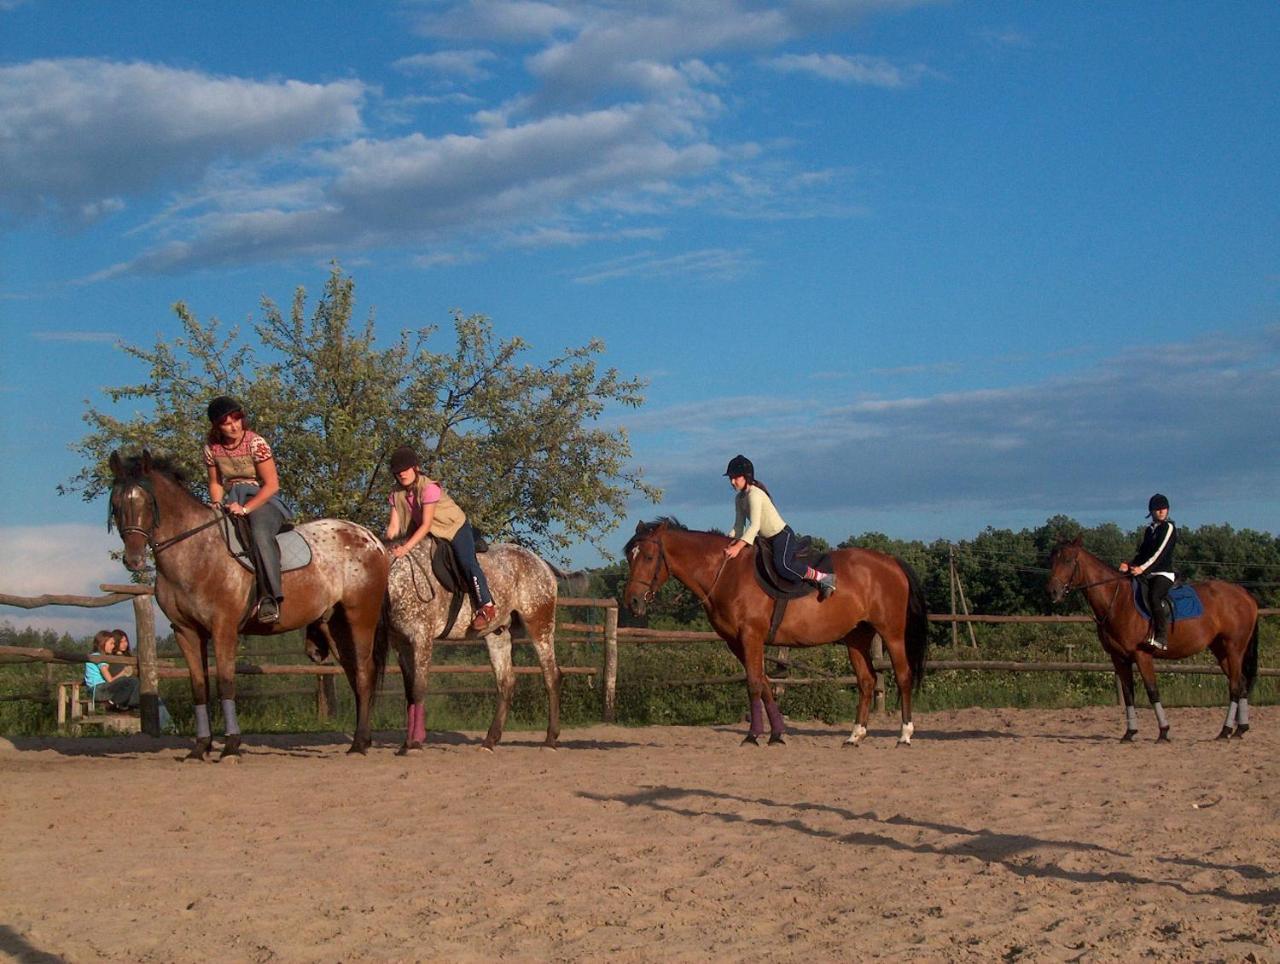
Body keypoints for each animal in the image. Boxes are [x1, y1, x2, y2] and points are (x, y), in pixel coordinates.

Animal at [108, 450, 389, 757]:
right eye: (116, 504)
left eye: (146, 502)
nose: (133, 560)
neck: (195, 551)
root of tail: (371, 539)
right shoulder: (186, 631)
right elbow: (199, 687)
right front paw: (201, 747)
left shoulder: (223, 627)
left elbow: (226, 683)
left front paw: (231, 745)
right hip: (333, 625)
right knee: (355, 675)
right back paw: (361, 740)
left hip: (359, 618)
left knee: (364, 673)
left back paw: (359, 744)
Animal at [381, 535, 558, 752]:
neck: (401, 577)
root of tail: (542, 565)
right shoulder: (401, 644)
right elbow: (410, 694)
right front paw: (407, 743)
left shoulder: (422, 638)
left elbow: (419, 688)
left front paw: (414, 742)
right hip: (498, 635)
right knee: (506, 682)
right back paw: (489, 741)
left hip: (540, 627)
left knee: (551, 676)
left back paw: (550, 740)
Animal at [622, 519, 931, 742]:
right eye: (629, 557)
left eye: (648, 556)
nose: (633, 602)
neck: (725, 573)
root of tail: (891, 562)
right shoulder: (737, 642)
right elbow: (764, 681)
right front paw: (777, 733)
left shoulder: (751, 636)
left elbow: (754, 683)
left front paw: (753, 735)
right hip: (856, 637)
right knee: (867, 681)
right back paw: (855, 736)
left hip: (891, 633)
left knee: (903, 676)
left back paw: (904, 734)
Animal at [1049, 537, 1259, 742]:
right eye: (1051, 560)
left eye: (1068, 560)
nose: (1052, 591)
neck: (1117, 600)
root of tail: (1244, 594)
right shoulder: (1119, 658)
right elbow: (1128, 693)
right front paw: (1129, 733)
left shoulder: (1142, 655)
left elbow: (1152, 691)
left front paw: (1163, 732)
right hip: (1221, 651)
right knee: (1240, 683)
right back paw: (1240, 729)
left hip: (1234, 649)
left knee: (1234, 686)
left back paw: (1225, 731)